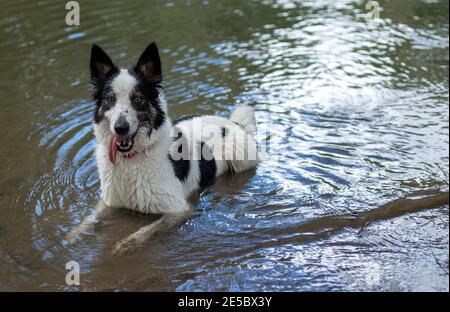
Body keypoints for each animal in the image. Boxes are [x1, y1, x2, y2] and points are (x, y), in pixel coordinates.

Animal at [68, 42, 262, 255]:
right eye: (110, 99)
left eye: (138, 99)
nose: (120, 128)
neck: (132, 158)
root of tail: (235, 123)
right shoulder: (110, 201)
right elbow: (91, 217)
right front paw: (72, 234)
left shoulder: (179, 210)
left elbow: (146, 229)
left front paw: (127, 243)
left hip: (237, 155)